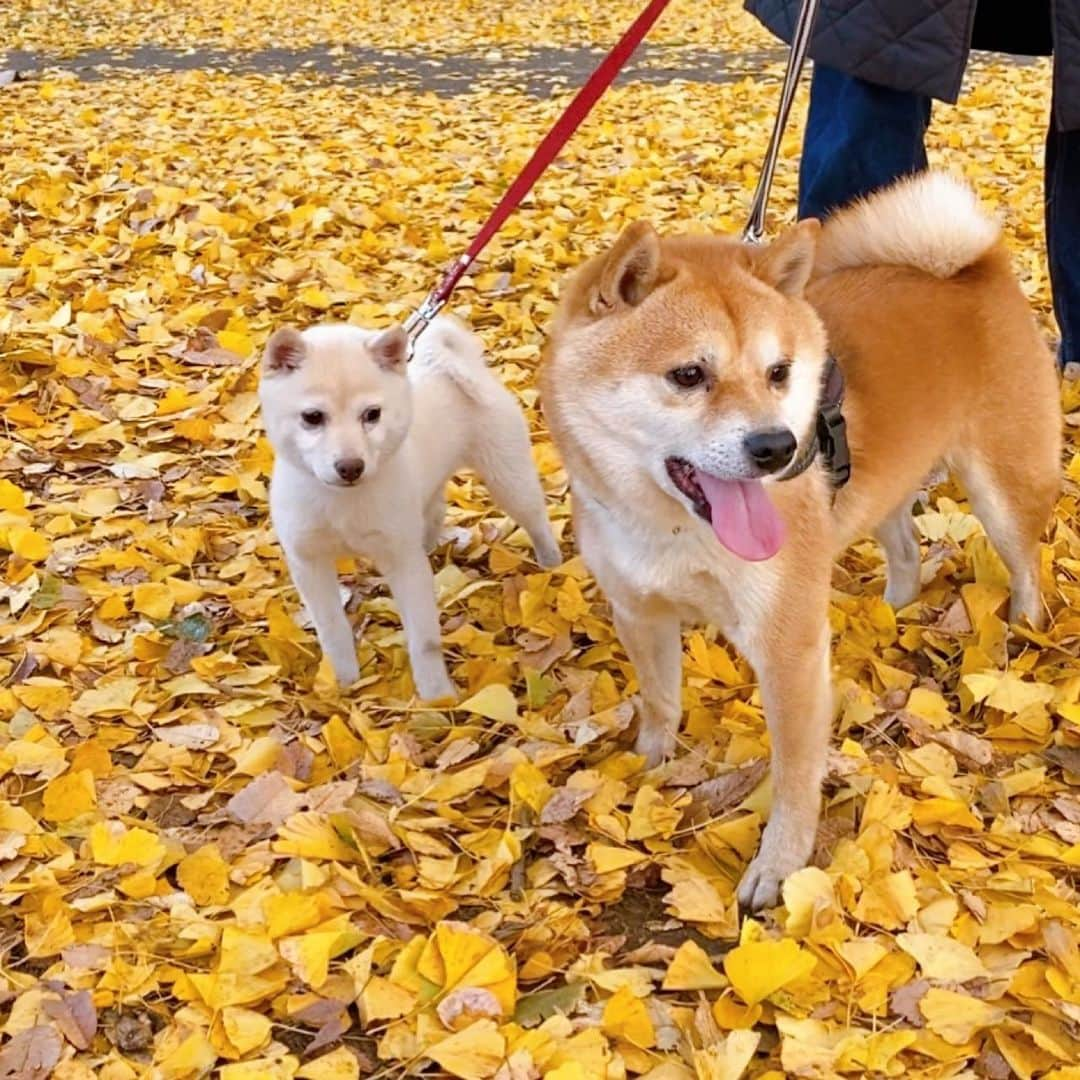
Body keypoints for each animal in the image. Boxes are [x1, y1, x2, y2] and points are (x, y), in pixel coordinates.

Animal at [258, 315, 561, 695]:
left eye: (372, 414)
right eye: (312, 417)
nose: (351, 467)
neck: (343, 504)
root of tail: (450, 362)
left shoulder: (403, 563)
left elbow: (424, 640)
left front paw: (437, 695)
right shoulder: (309, 562)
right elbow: (332, 629)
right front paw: (342, 682)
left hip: (510, 481)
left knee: (537, 521)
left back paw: (553, 565)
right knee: (434, 511)